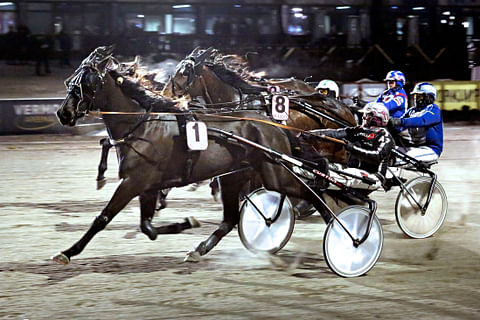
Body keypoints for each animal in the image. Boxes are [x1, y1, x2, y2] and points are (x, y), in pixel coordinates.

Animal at [52, 45, 330, 264]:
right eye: (70, 81)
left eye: (87, 84)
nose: (63, 113)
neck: (142, 127)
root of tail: (275, 126)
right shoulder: (146, 185)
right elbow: (147, 227)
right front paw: (185, 223)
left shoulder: (133, 182)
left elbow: (103, 218)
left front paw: (68, 252)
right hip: (234, 176)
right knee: (230, 219)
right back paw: (200, 249)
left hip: (275, 173)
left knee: (310, 193)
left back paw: (333, 225)